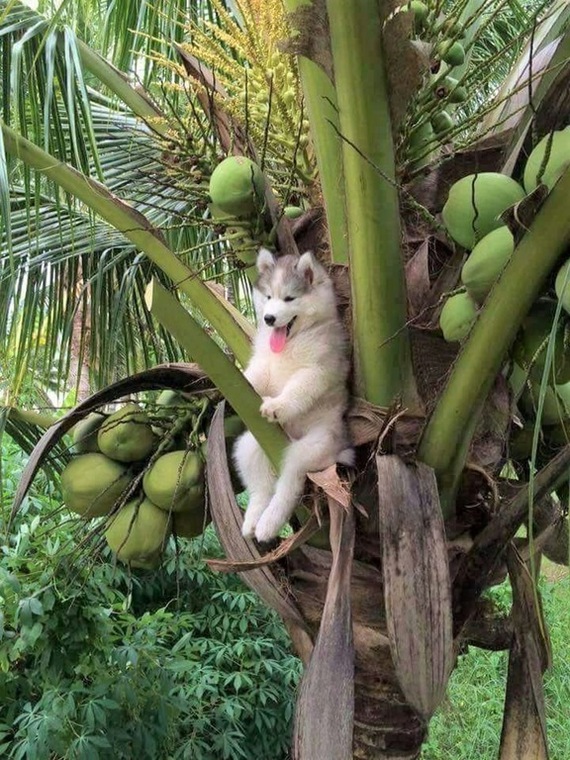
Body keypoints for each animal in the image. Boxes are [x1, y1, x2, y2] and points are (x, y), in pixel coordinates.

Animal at [232, 248, 350, 540]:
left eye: (289, 298)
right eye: (268, 297)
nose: (269, 319)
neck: (293, 341)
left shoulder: (317, 370)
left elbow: (298, 389)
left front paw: (278, 405)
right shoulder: (264, 364)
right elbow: (255, 377)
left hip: (313, 447)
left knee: (288, 485)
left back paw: (268, 523)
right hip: (250, 445)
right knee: (260, 486)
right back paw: (253, 520)